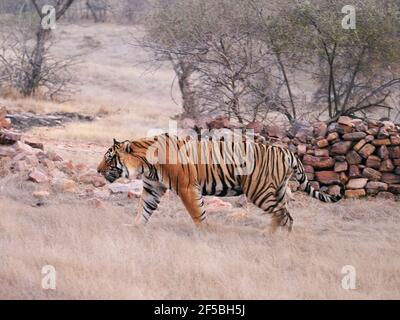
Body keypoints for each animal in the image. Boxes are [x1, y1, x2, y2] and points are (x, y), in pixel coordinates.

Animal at [97, 133, 344, 232]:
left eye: (109, 158)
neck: (146, 164)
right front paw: (134, 227)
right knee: (282, 214)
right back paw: (270, 236)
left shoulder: (187, 187)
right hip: (279, 191)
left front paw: (205, 232)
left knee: (284, 215)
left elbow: (197, 212)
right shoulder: (152, 189)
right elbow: (143, 210)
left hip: (259, 191)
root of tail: (286, 151)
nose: (98, 170)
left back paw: (279, 240)